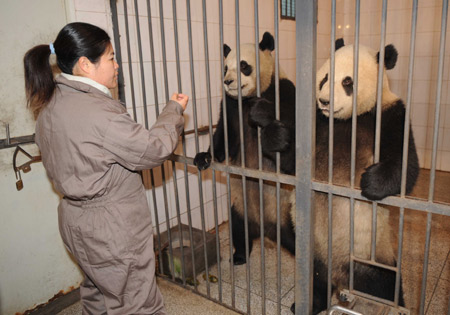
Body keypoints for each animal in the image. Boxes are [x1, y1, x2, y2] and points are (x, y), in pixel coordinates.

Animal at [192, 32, 296, 266]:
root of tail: (267, 230)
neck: (247, 99)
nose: (227, 81)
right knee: (238, 228)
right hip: (240, 205)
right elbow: (224, 138)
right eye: (224, 68)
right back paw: (239, 255)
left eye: (243, 65)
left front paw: (273, 135)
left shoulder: (284, 93)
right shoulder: (230, 107)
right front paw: (204, 157)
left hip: (287, 213)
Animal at [248, 38, 420, 314]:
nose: (324, 101)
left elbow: (407, 167)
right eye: (324, 78)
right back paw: (309, 303)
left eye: (347, 81)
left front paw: (371, 182)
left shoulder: (389, 114)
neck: (346, 119)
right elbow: (293, 162)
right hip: (312, 251)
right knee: (315, 281)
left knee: (387, 284)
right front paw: (274, 134)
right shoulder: (318, 124)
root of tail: (341, 276)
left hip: (372, 253)